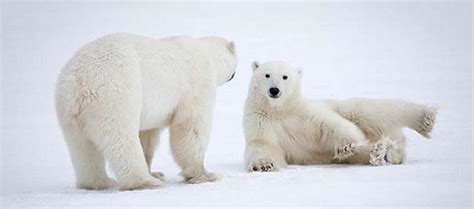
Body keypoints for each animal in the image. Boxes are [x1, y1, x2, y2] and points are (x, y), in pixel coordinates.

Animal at [55, 32, 237, 189]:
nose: (234, 74)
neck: (207, 54)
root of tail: (78, 81)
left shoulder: (151, 110)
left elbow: (148, 135)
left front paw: (155, 172)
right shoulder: (197, 83)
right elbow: (191, 128)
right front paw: (206, 174)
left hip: (69, 112)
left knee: (82, 148)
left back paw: (99, 182)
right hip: (114, 95)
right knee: (122, 139)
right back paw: (144, 181)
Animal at [244, 60, 436, 171]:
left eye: (285, 77)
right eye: (267, 75)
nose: (274, 90)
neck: (280, 110)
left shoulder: (305, 113)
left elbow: (328, 123)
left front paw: (346, 146)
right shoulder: (262, 120)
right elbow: (263, 144)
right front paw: (264, 165)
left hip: (349, 109)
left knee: (370, 110)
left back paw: (425, 119)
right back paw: (383, 153)